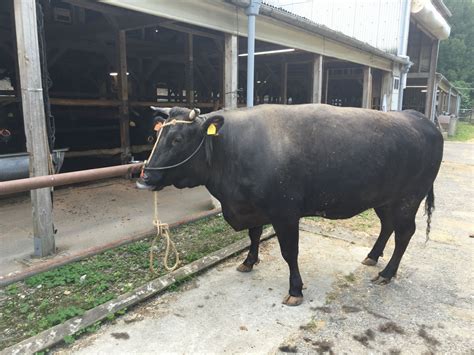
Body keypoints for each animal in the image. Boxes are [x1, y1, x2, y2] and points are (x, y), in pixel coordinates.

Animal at [137, 104, 444, 308]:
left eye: (178, 139)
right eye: (156, 137)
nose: (145, 177)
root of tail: (420, 117)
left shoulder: (285, 213)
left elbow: (289, 252)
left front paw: (295, 290)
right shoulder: (254, 207)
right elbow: (254, 235)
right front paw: (248, 261)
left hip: (408, 198)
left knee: (404, 233)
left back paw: (386, 273)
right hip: (385, 199)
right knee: (387, 226)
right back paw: (372, 256)